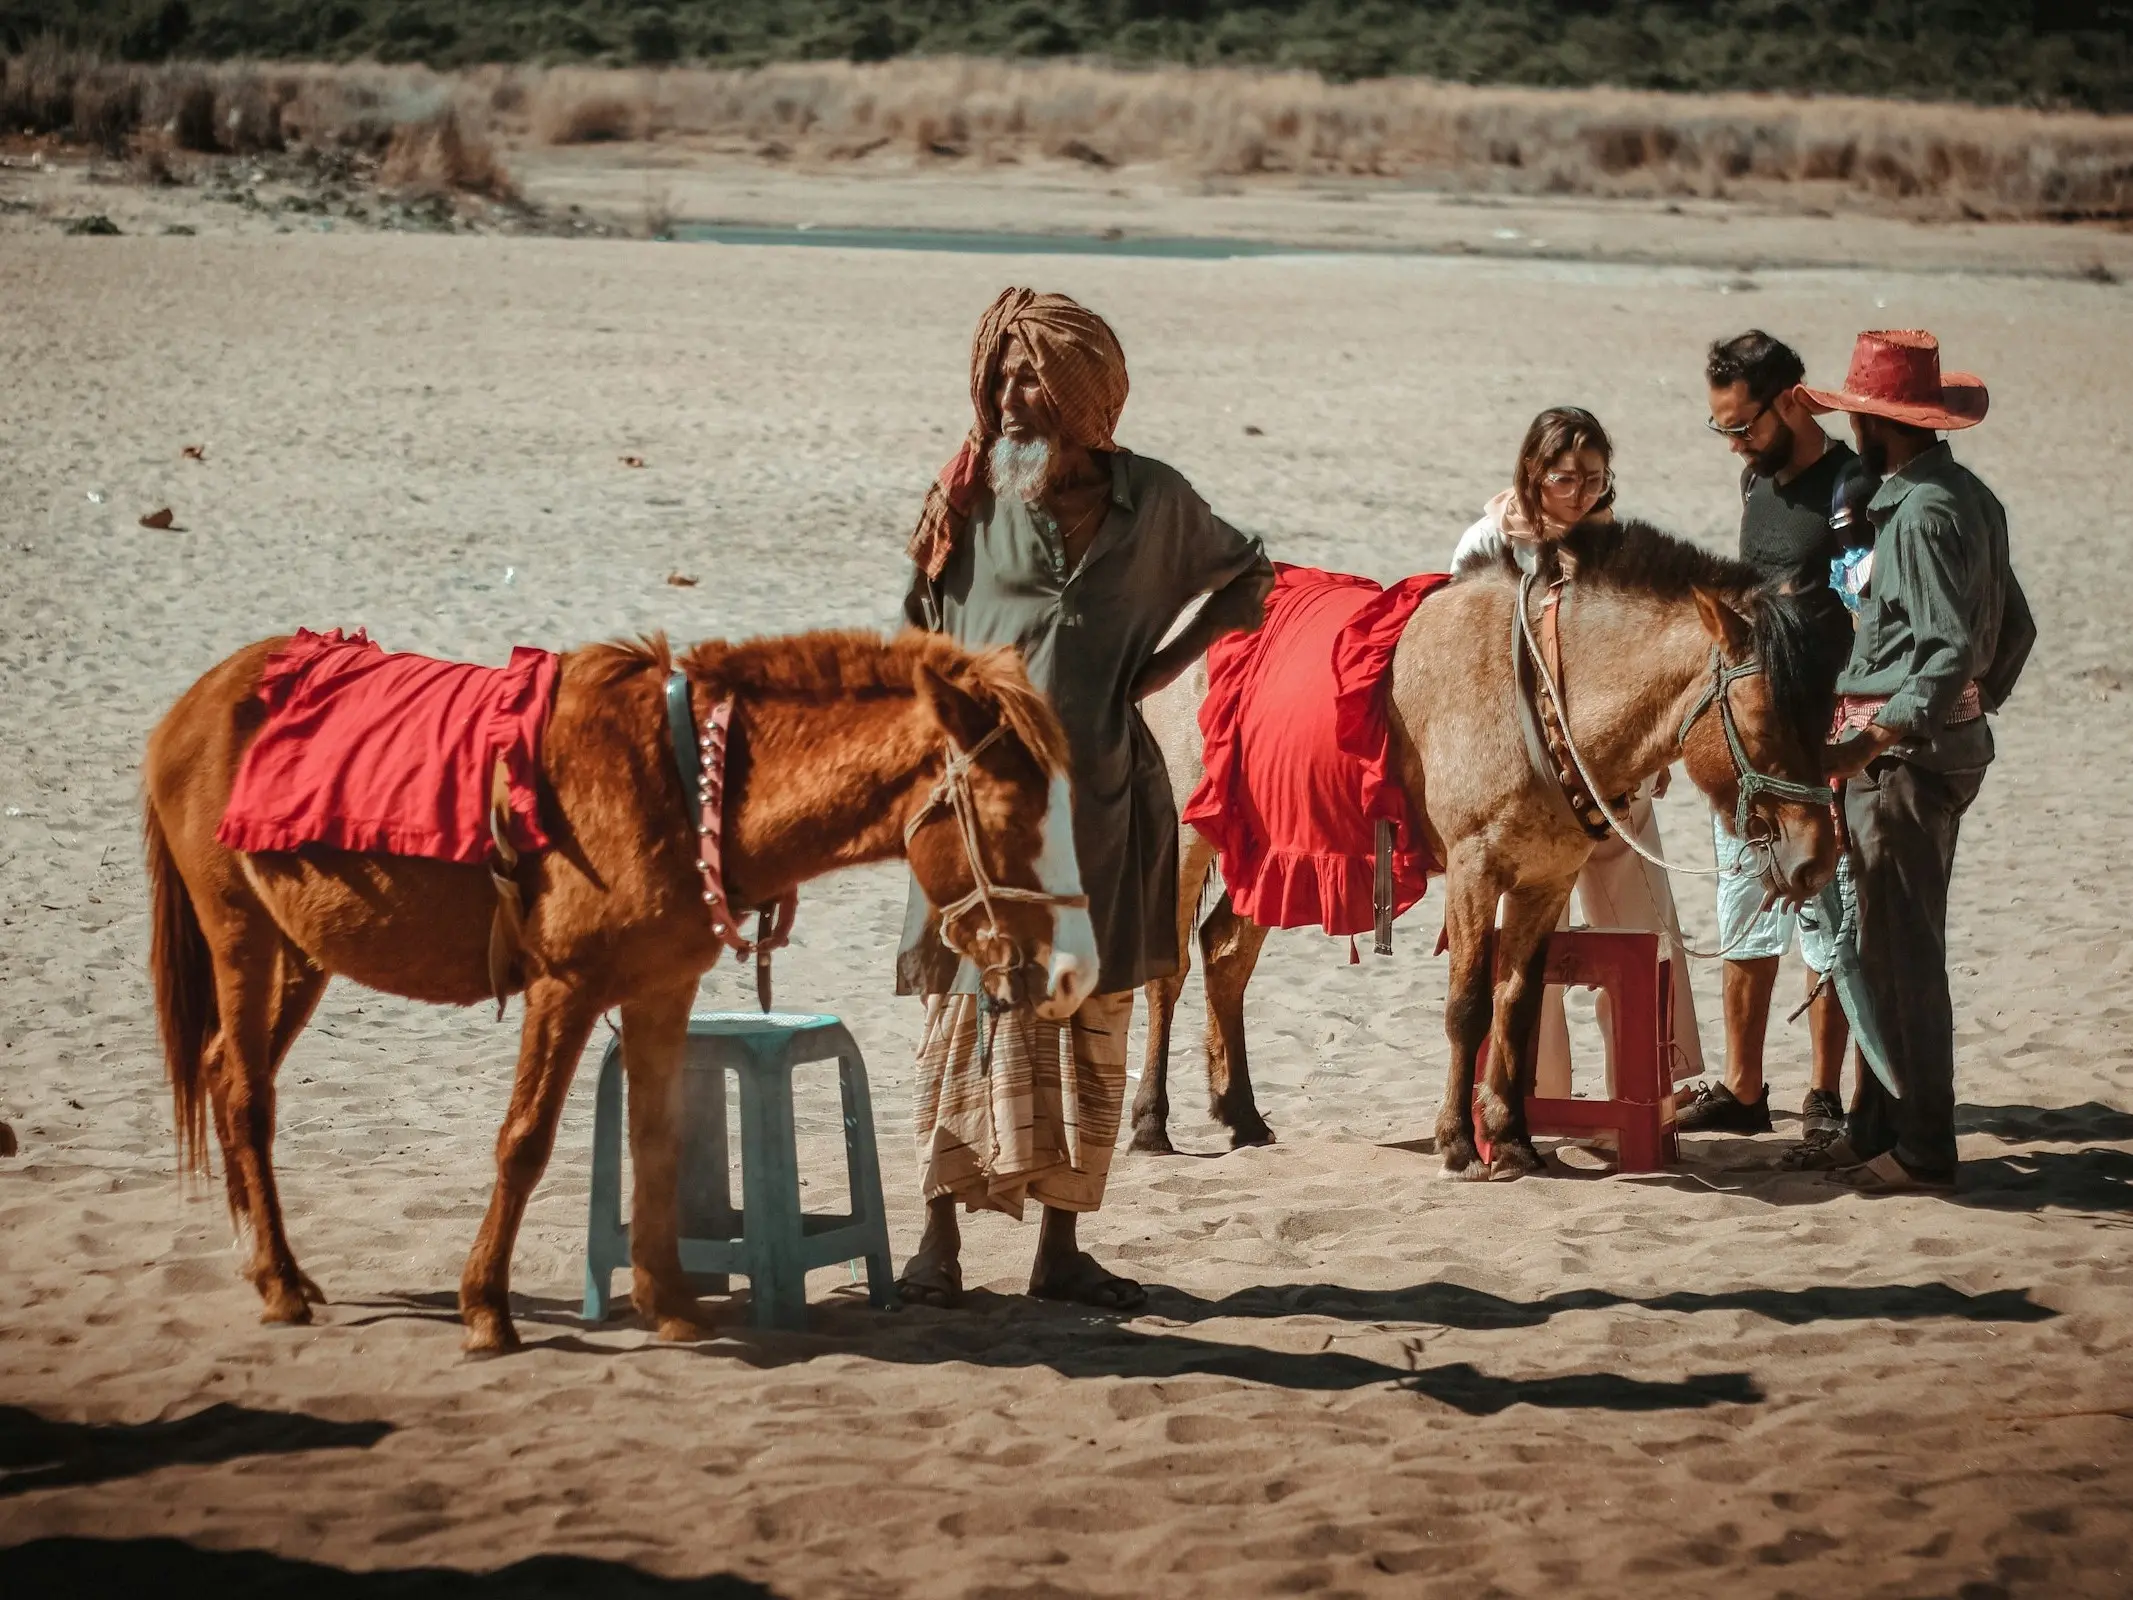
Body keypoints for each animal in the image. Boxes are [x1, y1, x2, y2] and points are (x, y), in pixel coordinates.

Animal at [141, 631, 1092, 1356]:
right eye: (1011, 820)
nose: (1073, 975)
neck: (681, 786)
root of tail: (197, 699)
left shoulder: (662, 991)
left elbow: (657, 1142)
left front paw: (667, 1302)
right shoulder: (563, 989)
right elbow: (523, 1144)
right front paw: (486, 1309)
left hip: (303, 948)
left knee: (227, 1072)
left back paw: (273, 1264)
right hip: (241, 934)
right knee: (246, 1094)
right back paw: (277, 1282)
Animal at [1126, 526, 1842, 1177]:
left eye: (1825, 714)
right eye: (1765, 719)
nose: (1814, 858)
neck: (1537, 687)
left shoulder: (1545, 883)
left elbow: (1516, 1008)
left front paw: (1513, 1137)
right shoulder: (1474, 873)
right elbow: (1467, 1009)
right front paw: (1459, 1143)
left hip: (1276, 847)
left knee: (1225, 953)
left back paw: (1242, 1115)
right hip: (1191, 834)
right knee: (1171, 967)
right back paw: (1150, 1122)